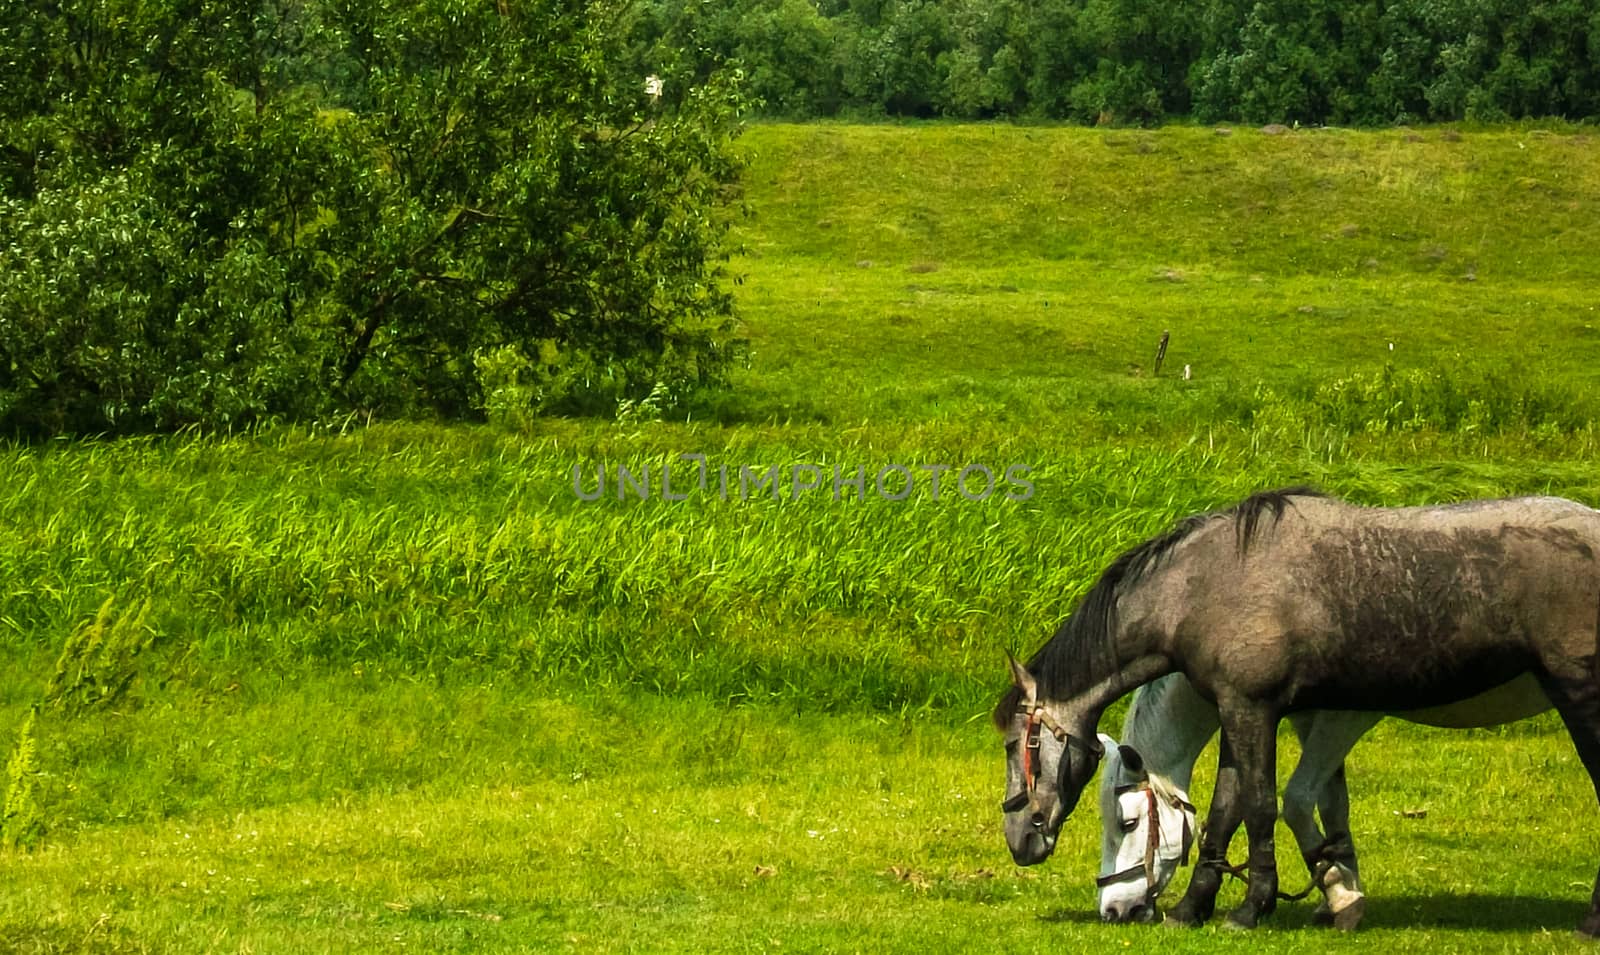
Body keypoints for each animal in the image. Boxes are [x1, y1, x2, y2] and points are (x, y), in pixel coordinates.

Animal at [1094, 671, 1542, 921]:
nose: (1113, 910)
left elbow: (1296, 799)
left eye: (1129, 822)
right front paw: (1339, 888)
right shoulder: (1309, 718)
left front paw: (1339, 893)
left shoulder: (1346, 716)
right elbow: (1332, 805)